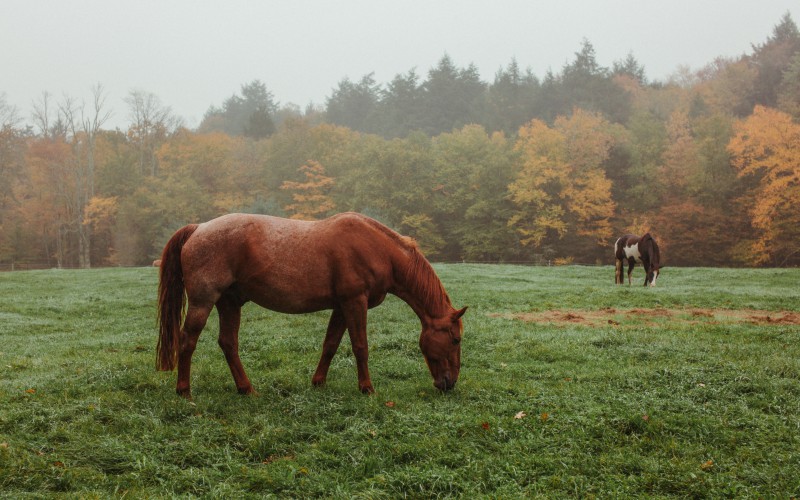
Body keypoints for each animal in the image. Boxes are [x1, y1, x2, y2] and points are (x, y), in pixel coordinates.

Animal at [156, 211, 466, 398]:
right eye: (455, 339)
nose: (449, 383)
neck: (378, 249)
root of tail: (198, 228)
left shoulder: (342, 306)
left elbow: (330, 345)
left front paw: (318, 382)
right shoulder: (355, 302)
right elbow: (360, 346)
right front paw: (367, 388)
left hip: (229, 302)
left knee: (228, 343)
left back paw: (246, 389)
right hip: (203, 301)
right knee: (187, 341)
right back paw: (184, 391)